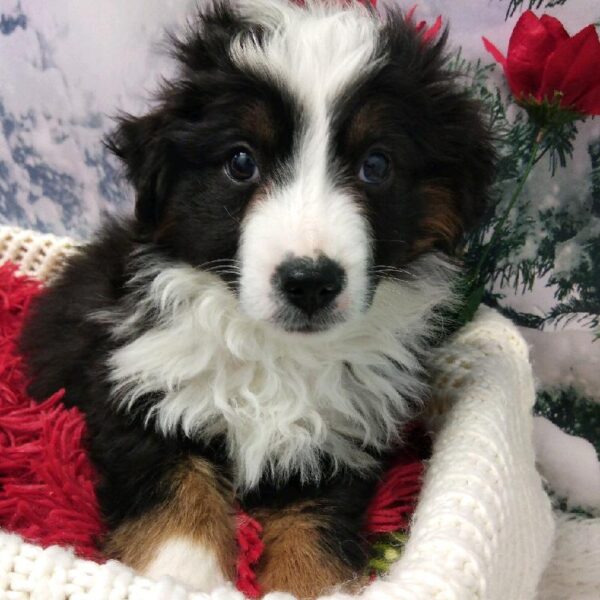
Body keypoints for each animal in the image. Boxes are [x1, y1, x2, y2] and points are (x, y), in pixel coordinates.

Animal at [21, 2, 494, 596]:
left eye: (377, 165)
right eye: (241, 162)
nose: (310, 281)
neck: (274, 348)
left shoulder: (340, 437)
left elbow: (313, 529)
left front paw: (304, 582)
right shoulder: (134, 384)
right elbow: (173, 487)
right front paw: (183, 574)